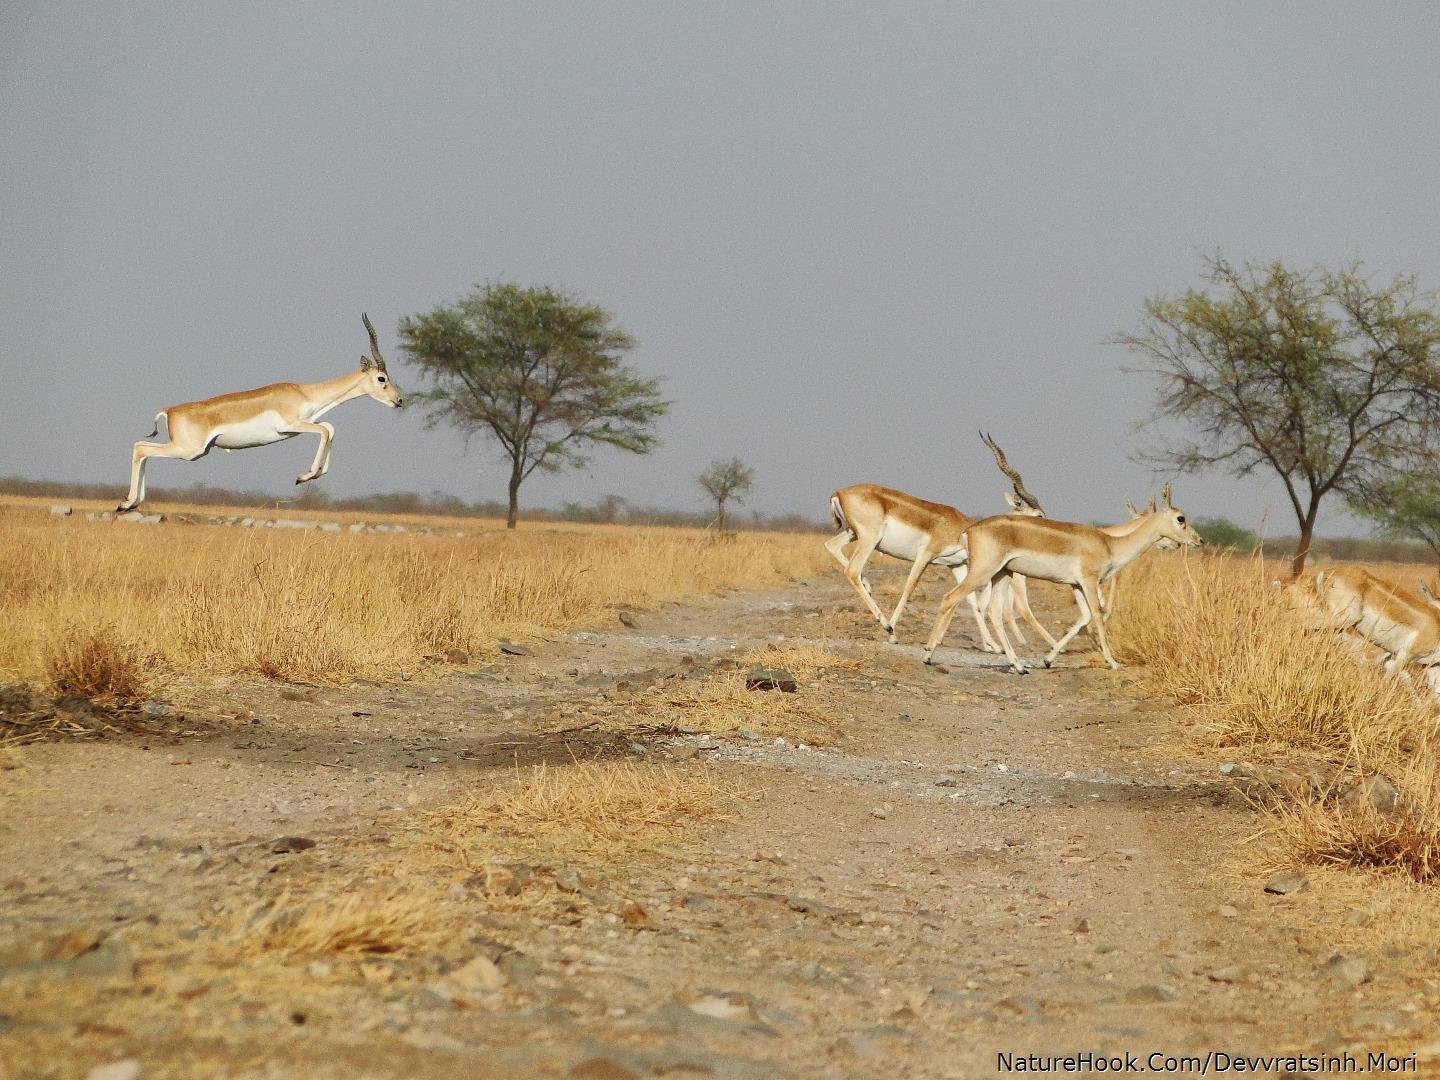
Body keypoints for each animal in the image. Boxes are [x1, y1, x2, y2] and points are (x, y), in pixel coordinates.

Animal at [113, 315, 400, 512]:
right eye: (382, 378)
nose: (399, 400)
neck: (304, 392)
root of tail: (170, 410)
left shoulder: (305, 423)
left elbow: (329, 428)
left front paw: (313, 474)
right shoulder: (291, 425)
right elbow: (324, 430)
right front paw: (303, 476)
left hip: (195, 451)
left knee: (142, 449)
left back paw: (132, 504)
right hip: (188, 450)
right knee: (140, 448)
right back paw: (126, 504)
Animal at [829, 432, 1054, 650]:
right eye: (1039, 515)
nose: (1049, 530)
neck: (964, 528)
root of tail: (839, 492)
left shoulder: (956, 565)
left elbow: (972, 601)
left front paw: (993, 646)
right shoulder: (925, 555)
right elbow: (910, 587)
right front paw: (893, 634)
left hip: (854, 533)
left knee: (832, 547)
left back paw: (868, 586)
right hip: (869, 538)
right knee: (851, 570)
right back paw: (885, 624)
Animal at [921, 486, 1203, 673]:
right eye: (1181, 518)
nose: (1199, 540)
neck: (1110, 544)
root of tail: (970, 529)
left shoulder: (1076, 585)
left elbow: (1085, 617)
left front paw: (1048, 659)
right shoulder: (1089, 581)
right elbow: (1098, 616)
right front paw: (1113, 662)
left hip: (1001, 574)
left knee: (992, 612)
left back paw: (1019, 665)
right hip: (982, 573)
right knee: (950, 598)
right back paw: (928, 655)